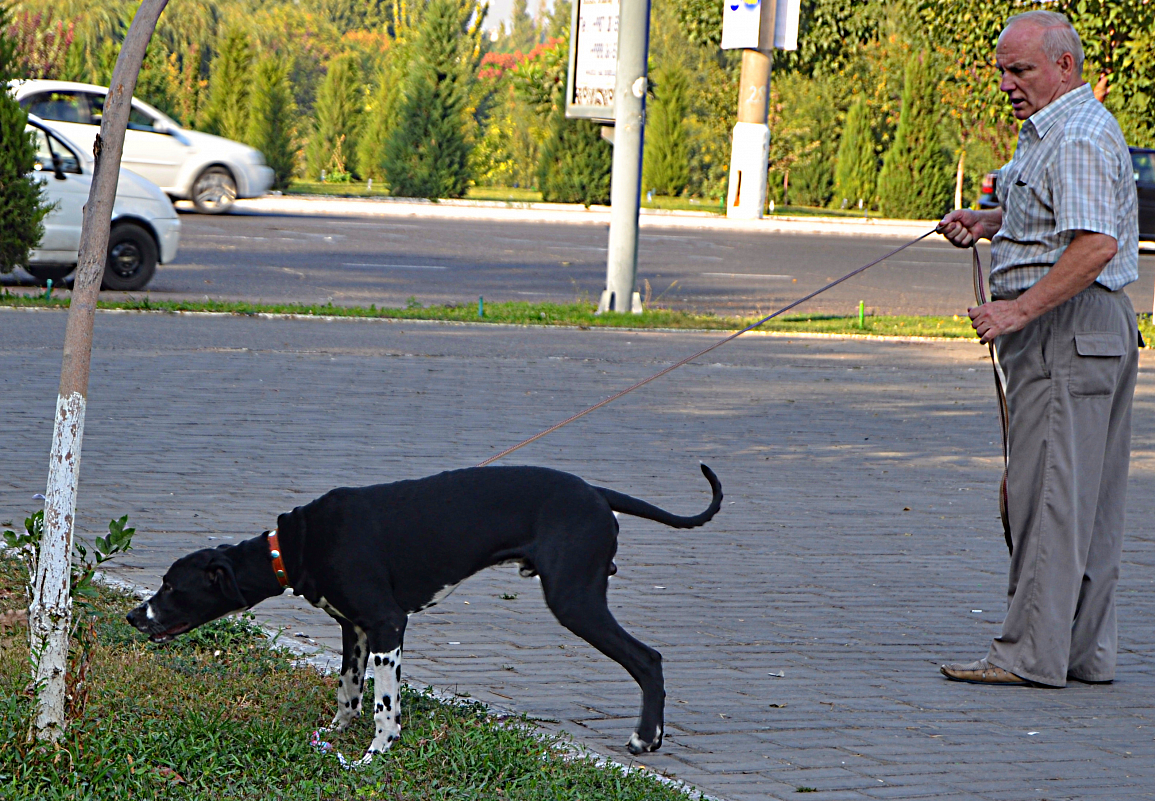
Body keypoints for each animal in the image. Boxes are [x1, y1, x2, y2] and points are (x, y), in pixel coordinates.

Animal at [128, 461, 720, 761]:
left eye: (171, 585)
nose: (134, 617)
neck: (295, 545)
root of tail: (597, 492)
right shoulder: (354, 629)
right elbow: (348, 691)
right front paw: (335, 734)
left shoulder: (388, 625)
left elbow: (383, 706)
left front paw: (376, 752)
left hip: (575, 600)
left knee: (648, 659)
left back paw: (646, 738)